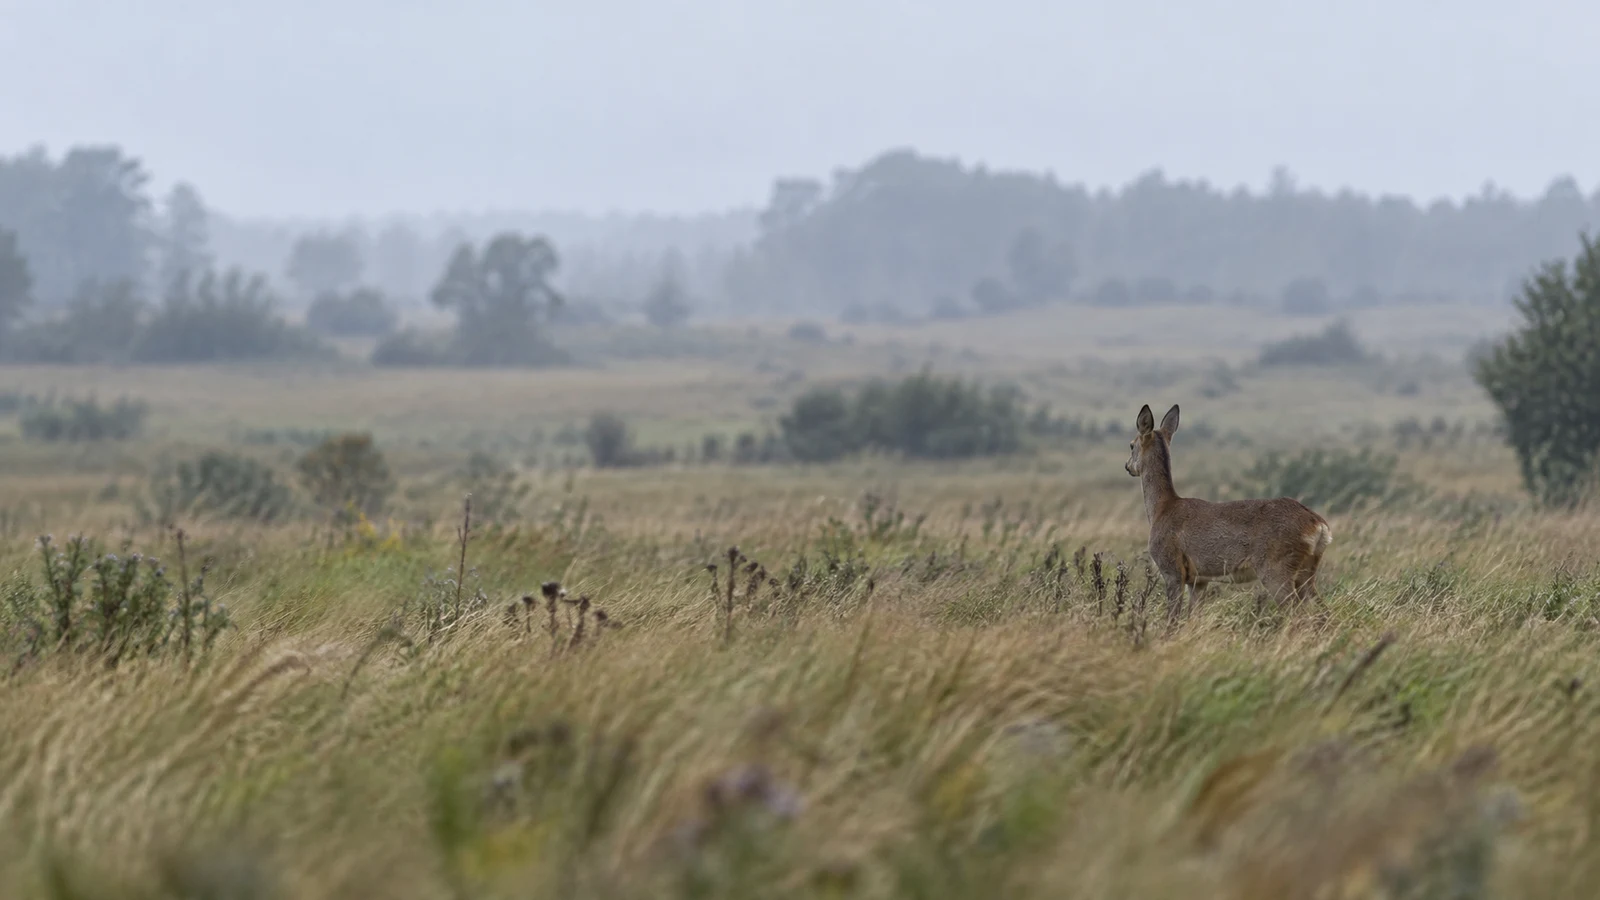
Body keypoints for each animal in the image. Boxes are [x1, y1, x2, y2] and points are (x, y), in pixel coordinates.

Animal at [1125, 403, 1332, 622]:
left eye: (1131, 445)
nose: (1128, 466)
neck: (1161, 509)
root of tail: (1319, 525)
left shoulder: (1171, 568)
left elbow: (1172, 620)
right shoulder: (1199, 580)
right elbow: (1193, 618)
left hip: (1277, 568)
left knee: (1298, 615)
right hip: (1307, 570)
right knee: (1324, 612)